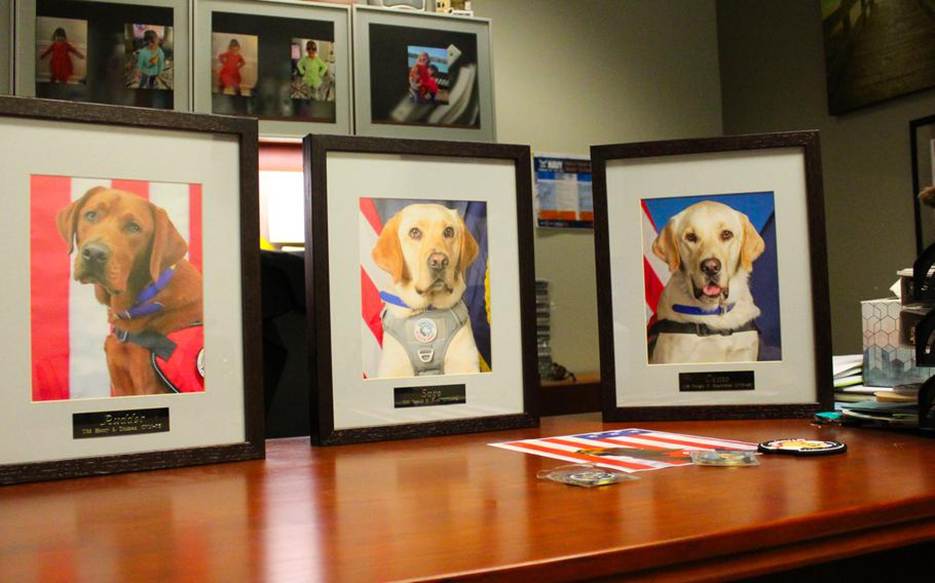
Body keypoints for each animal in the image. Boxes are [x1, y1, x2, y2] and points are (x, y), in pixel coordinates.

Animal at [371, 203, 481, 378]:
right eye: (414, 232)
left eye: (449, 232)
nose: (439, 261)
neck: (428, 309)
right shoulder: (395, 370)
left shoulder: (464, 365)